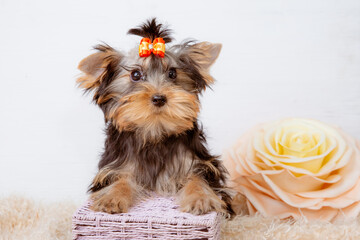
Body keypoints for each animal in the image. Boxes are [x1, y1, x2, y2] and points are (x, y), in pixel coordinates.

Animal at [77, 17, 232, 215]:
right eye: (135, 74)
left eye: (172, 73)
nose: (159, 98)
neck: (155, 132)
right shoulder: (118, 165)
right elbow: (120, 178)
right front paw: (111, 197)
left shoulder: (199, 163)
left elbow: (198, 177)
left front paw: (201, 198)